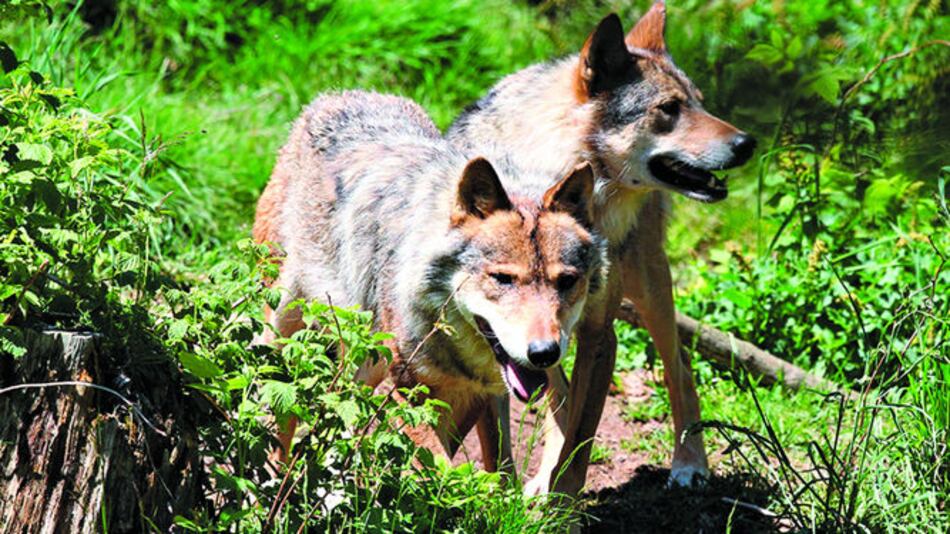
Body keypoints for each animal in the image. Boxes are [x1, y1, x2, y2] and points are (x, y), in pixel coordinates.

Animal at [252, 91, 607, 470]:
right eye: (503, 278)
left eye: (566, 281)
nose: (544, 353)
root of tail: (334, 95)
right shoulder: (407, 391)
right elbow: (440, 466)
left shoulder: (479, 395)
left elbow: (491, 465)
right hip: (283, 333)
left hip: (362, 364)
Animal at [448, 1, 756, 492]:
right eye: (669, 108)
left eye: (700, 102)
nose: (747, 143)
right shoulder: (495, 332)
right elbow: (502, 445)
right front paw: (511, 496)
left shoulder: (598, 333)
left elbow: (580, 444)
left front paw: (561, 501)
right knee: (559, 393)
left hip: (650, 286)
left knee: (680, 365)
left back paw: (689, 463)